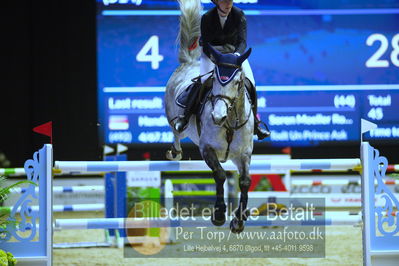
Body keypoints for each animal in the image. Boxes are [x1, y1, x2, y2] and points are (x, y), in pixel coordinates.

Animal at [165, 0, 253, 233]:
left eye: (238, 82)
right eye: (214, 79)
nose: (218, 116)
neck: (229, 123)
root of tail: (188, 62)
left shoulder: (244, 154)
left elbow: (245, 181)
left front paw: (238, 220)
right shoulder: (207, 149)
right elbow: (220, 175)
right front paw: (219, 215)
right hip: (174, 118)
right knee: (176, 131)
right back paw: (175, 151)